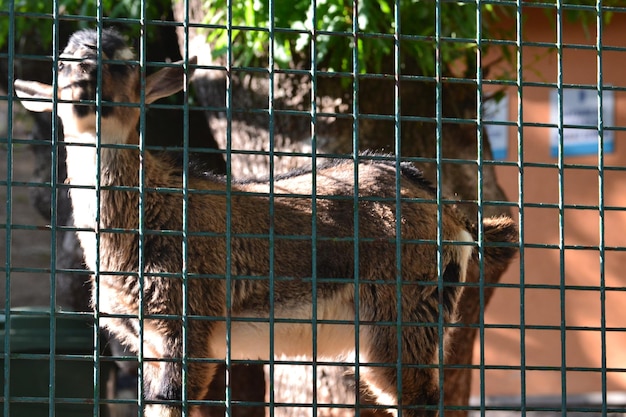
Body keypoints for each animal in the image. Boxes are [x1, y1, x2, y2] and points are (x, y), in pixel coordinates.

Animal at [14, 28, 516, 416]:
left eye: (120, 63)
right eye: (62, 64)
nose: (84, 84)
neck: (153, 208)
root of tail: (448, 215)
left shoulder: (189, 326)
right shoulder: (149, 342)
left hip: (403, 315)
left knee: (418, 396)